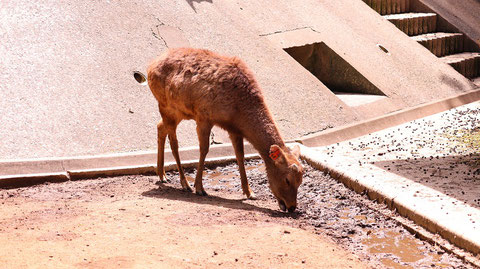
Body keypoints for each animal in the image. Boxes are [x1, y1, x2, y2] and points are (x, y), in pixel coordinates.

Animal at [147, 48, 304, 211]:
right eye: (287, 180)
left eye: (300, 181)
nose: (292, 207)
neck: (238, 112)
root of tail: (150, 68)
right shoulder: (204, 117)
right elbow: (204, 149)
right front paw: (199, 188)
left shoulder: (234, 130)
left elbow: (240, 155)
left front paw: (249, 192)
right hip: (167, 106)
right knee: (174, 142)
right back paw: (185, 184)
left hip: (178, 112)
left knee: (160, 127)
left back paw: (162, 175)